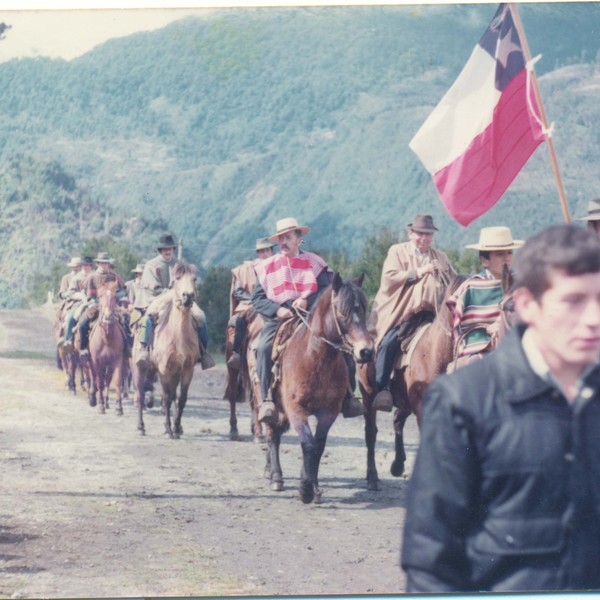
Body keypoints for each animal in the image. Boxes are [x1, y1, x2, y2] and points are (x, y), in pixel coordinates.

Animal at [87, 280, 126, 412]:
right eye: (100, 296)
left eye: (114, 296)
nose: (107, 316)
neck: (106, 338)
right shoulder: (96, 361)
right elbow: (99, 381)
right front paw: (100, 405)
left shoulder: (117, 359)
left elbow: (117, 381)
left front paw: (119, 407)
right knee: (95, 378)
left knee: (107, 379)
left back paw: (107, 402)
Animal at [133, 260, 199, 438]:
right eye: (177, 279)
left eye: (194, 279)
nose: (188, 296)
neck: (177, 337)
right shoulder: (164, 370)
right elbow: (167, 398)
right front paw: (169, 429)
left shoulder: (187, 369)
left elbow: (181, 399)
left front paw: (176, 427)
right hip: (139, 368)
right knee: (140, 394)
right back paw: (140, 427)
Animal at [264, 274, 372, 504]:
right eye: (341, 311)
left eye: (363, 309)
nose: (366, 351)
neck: (314, 359)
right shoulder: (296, 410)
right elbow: (308, 444)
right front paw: (305, 489)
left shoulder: (328, 411)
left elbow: (318, 447)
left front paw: (313, 487)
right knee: (272, 434)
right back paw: (276, 476)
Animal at [356, 274, 464, 490]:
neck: (434, 352)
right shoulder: (422, 407)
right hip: (369, 395)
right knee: (371, 433)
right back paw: (372, 478)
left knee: (397, 420)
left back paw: (397, 465)